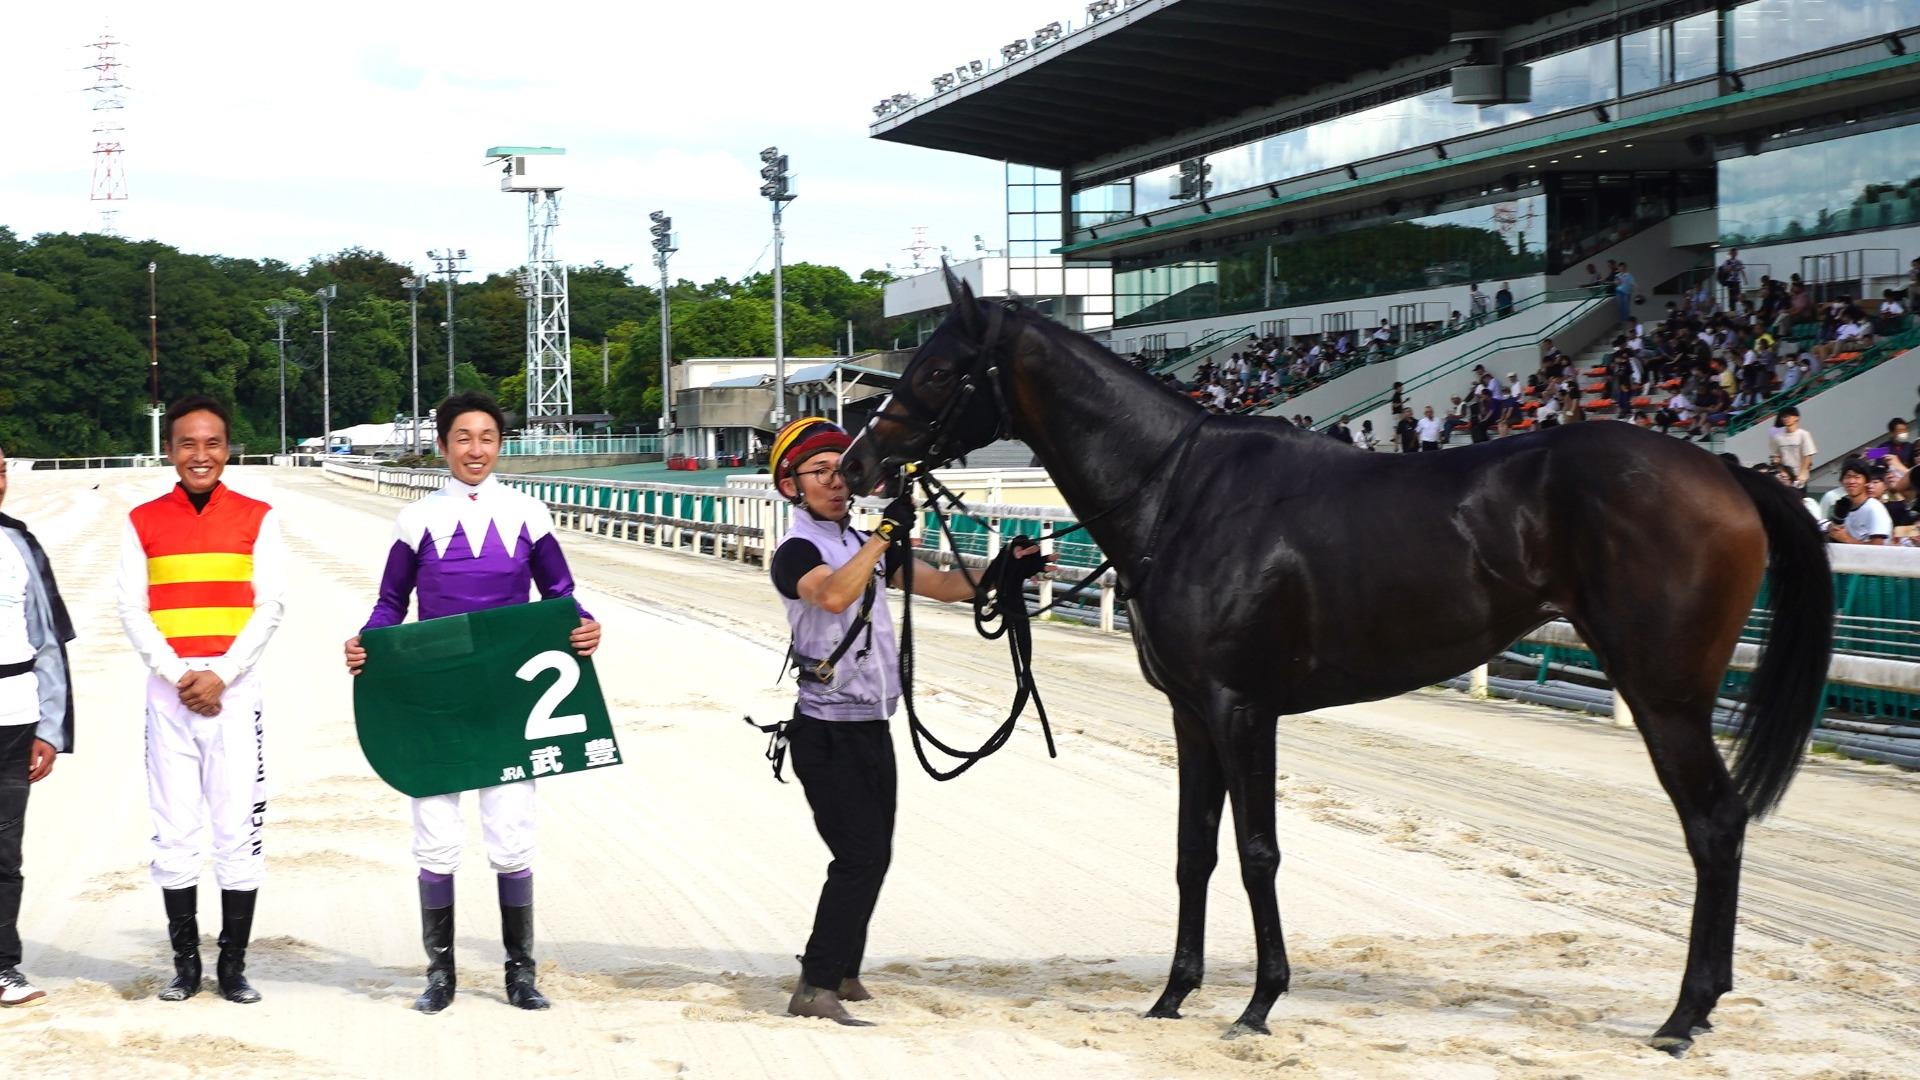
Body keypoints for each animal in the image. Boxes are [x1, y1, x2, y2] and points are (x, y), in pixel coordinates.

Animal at [848, 270, 1835, 1053]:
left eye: (935, 370)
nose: (859, 463)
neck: (1180, 494)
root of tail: (1730, 473)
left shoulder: (1242, 708)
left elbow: (1257, 852)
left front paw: (1258, 1004)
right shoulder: (1191, 714)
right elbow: (1193, 854)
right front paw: (1173, 995)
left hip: (1667, 697)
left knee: (1713, 825)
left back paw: (1683, 1015)